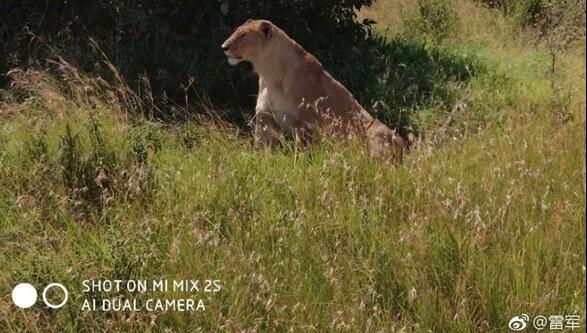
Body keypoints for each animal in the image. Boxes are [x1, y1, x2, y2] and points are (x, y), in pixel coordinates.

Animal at [223, 19, 406, 162]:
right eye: (236, 31)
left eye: (243, 35)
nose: (224, 46)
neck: (269, 73)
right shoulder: (264, 118)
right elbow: (263, 147)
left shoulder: (303, 122)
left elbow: (301, 151)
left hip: (377, 130)